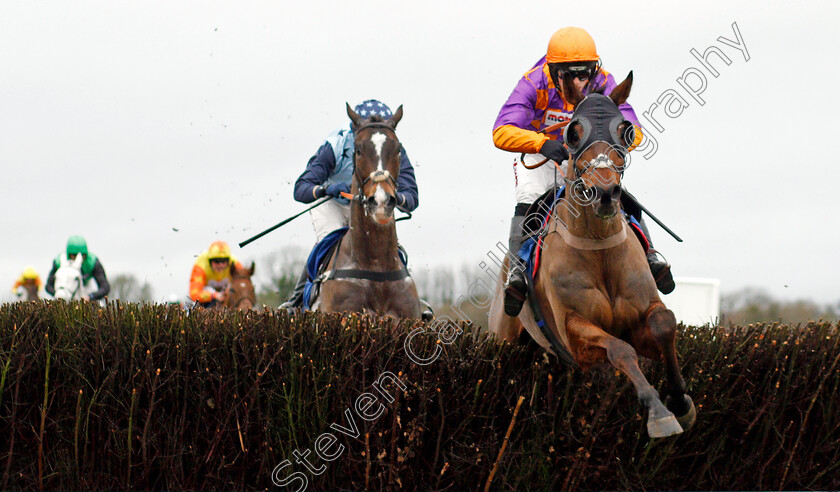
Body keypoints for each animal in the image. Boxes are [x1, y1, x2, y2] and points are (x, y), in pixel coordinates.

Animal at [486, 71, 696, 436]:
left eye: (625, 130)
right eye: (572, 131)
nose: (605, 193)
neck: (598, 246)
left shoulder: (645, 314)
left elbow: (664, 324)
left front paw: (680, 402)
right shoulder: (574, 335)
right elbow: (620, 350)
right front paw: (659, 412)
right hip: (505, 336)